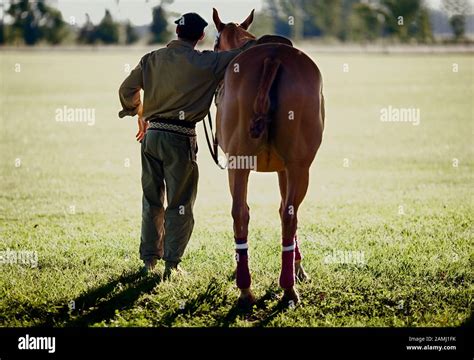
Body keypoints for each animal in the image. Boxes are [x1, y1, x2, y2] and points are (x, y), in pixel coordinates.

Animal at [213, 7, 324, 306]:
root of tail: (272, 58)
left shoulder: (278, 168)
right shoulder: (286, 168)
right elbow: (285, 208)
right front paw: (298, 267)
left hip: (243, 164)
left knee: (243, 212)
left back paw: (249, 287)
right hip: (296, 166)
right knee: (285, 214)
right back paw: (284, 288)